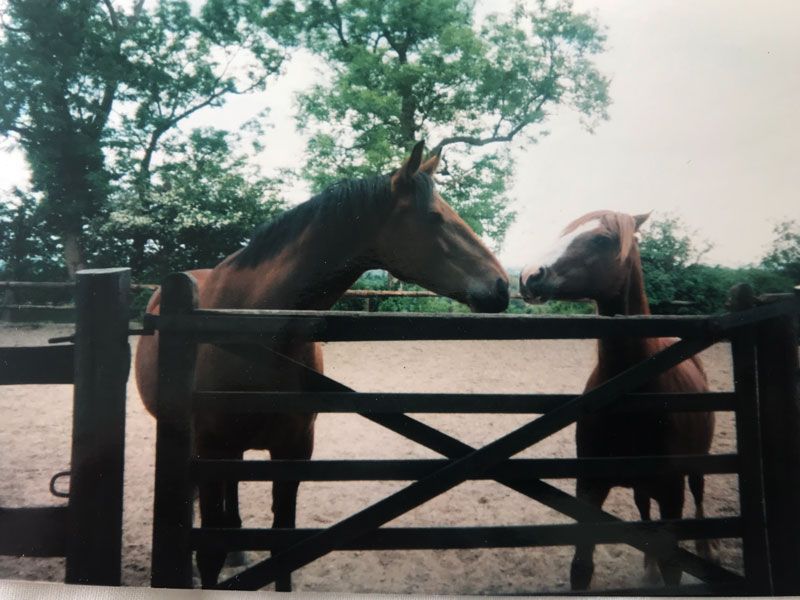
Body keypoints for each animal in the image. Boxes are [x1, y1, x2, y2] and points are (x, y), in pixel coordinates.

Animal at [131, 142, 506, 592]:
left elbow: (282, 543)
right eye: (434, 217)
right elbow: (209, 551)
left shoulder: (294, 448)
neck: (255, 327)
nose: (502, 286)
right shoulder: (209, 448)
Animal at [520, 211, 716, 592]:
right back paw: (648, 571)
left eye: (603, 239)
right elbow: (581, 568)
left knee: (700, 500)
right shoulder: (589, 488)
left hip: (697, 467)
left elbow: (673, 569)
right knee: (643, 511)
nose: (530, 275)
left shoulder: (672, 495)